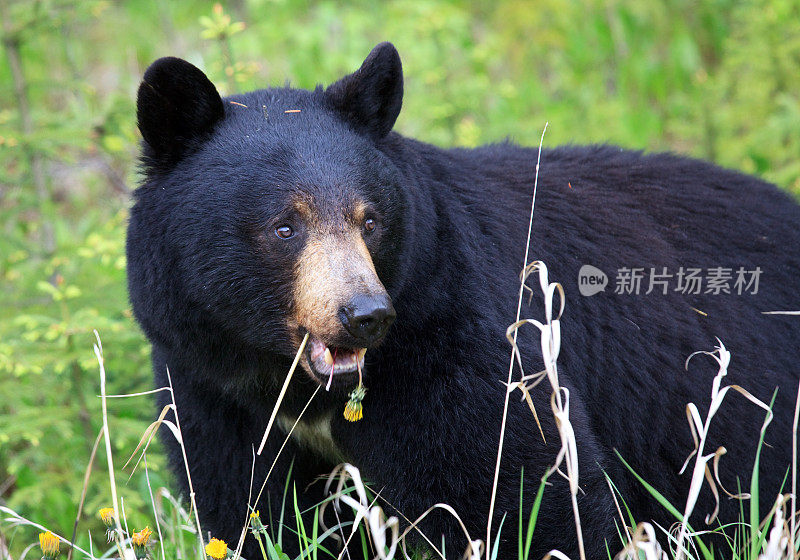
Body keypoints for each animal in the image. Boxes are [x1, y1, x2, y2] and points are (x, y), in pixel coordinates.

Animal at [126, 41, 800, 556]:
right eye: (284, 226)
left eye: (370, 220)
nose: (365, 315)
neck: (298, 391)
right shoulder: (212, 388)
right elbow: (252, 512)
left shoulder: (451, 338)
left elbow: (520, 489)